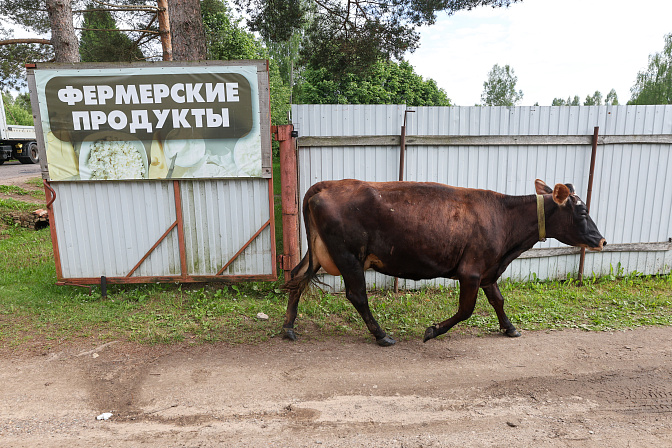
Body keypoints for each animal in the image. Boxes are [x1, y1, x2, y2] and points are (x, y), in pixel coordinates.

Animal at [283, 179, 606, 346]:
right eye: (582, 211)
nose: (602, 240)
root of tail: (326, 185)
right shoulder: (471, 271)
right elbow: (466, 310)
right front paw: (432, 331)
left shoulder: (488, 270)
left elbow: (498, 300)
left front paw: (510, 328)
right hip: (349, 255)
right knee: (357, 295)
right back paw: (382, 335)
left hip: (319, 252)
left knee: (296, 278)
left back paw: (288, 328)